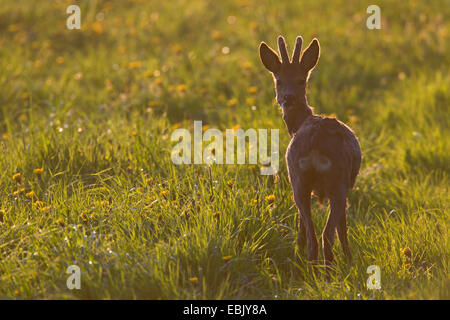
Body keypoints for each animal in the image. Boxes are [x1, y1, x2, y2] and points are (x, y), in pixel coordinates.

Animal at [258, 35, 360, 270]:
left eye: (300, 81)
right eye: (278, 80)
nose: (288, 98)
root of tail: (314, 147)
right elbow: (342, 229)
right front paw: (350, 261)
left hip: (298, 182)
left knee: (311, 235)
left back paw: (307, 270)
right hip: (337, 183)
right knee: (325, 235)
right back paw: (326, 272)